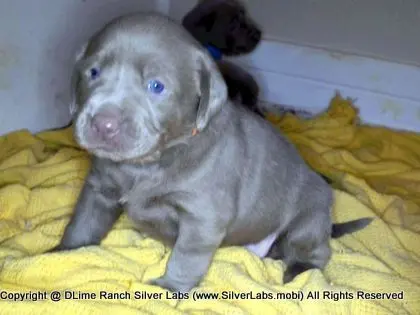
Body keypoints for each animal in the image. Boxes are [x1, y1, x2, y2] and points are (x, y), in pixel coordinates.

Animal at [52, 12, 370, 294]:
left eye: (156, 86)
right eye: (93, 72)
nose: (103, 125)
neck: (146, 165)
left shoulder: (202, 217)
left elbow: (186, 258)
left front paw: (168, 289)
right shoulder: (98, 190)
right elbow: (82, 224)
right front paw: (62, 253)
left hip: (307, 221)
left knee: (315, 253)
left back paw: (300, 273)